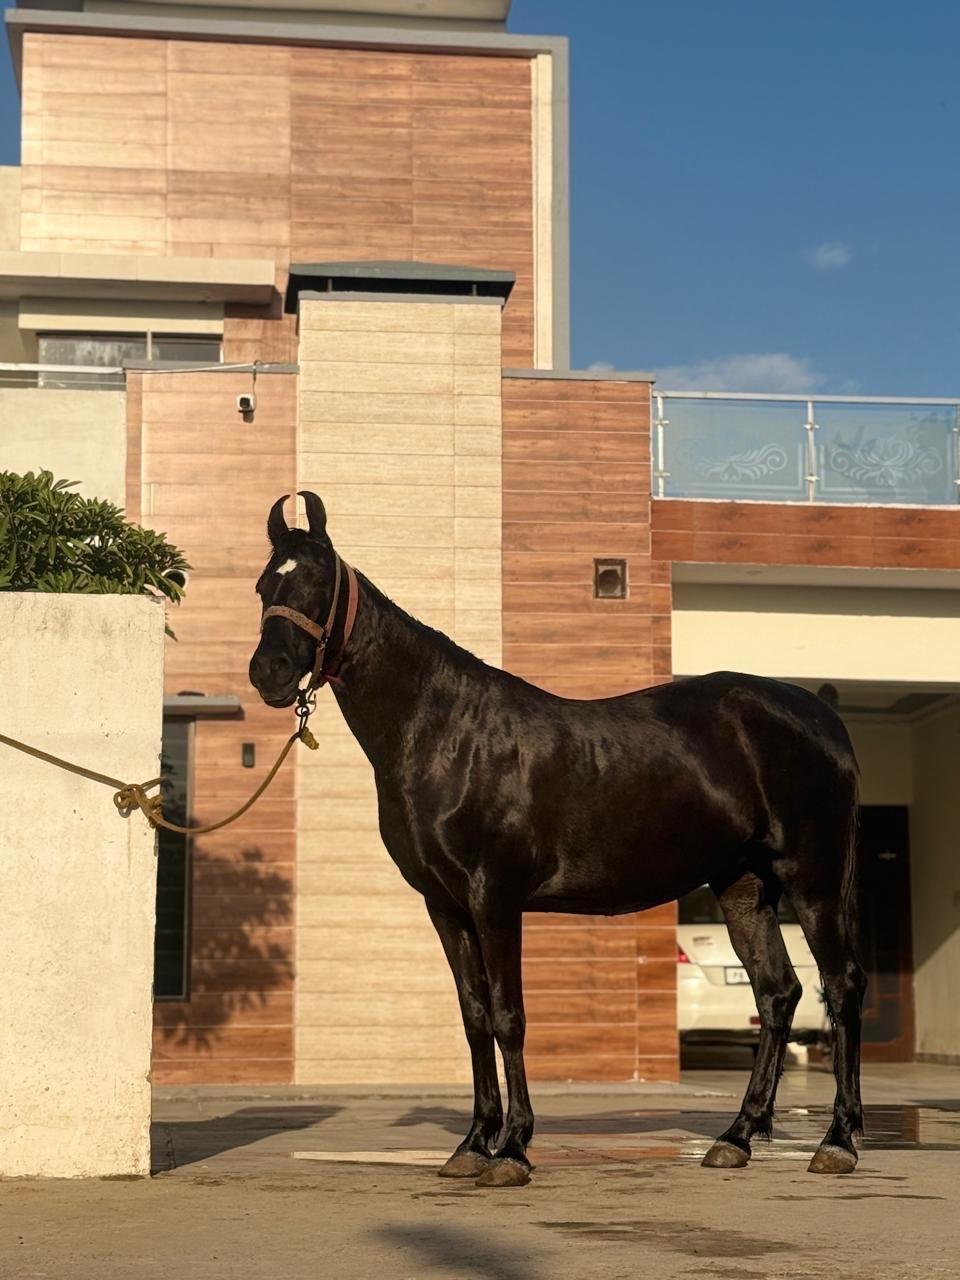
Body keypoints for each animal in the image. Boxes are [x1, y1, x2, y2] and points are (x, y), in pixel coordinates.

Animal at [249, 491, 866, 1188]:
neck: (444, 731)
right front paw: (474, 1143)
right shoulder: (445, 906)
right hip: (742, 885)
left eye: (317, 581)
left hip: (812, 880)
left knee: (841, 985)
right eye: (264, 584)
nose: (268, 673)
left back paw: (837, 1141)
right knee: (778, 992)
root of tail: (821, 713)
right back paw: (736, 1135)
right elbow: (475, 1018)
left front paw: (513, 1148)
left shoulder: (494, 900)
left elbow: (509, 1017)